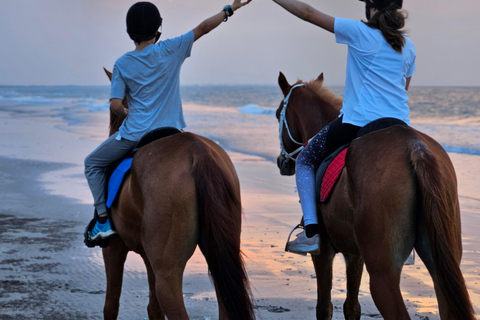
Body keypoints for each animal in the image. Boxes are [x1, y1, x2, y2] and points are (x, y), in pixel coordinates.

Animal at [98, 70, 255, 320]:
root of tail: (198, 152)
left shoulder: (113, 248)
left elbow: (111, 305)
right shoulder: (147, 257)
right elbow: (153, 309)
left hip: (167, 273)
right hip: (219, 256)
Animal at [276, 72, 474, 320]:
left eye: (277, 114)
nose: (281, 162)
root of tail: (415, 147)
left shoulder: (323, 253)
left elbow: (324, 307)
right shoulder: (355, 254)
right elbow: (352, 307)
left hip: (382, 275)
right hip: (441, 264)